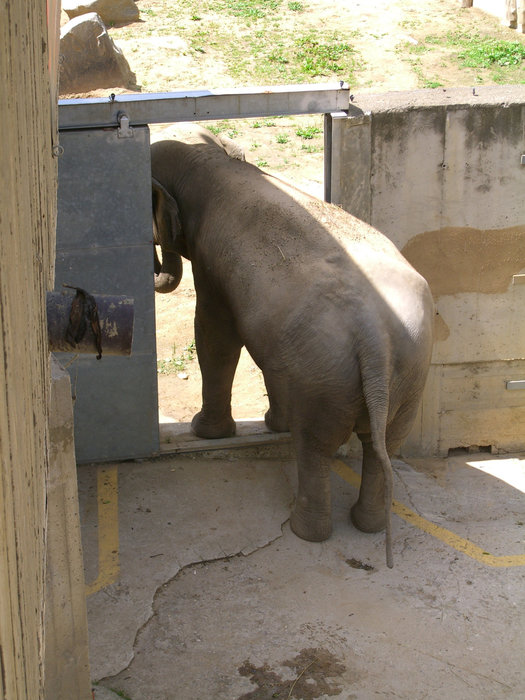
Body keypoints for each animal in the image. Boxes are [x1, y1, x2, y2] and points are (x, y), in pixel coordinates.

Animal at [149, 123, 432, 568]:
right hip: (405, 372)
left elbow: (215, 335)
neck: (213, 160)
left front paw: (205, 433)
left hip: (327, 380)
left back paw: (306, 532)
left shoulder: (212, 263)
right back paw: (366, 525)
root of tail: (374, 336)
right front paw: (271, 425)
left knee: (315, 448)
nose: (155, 264)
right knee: (382, 442)